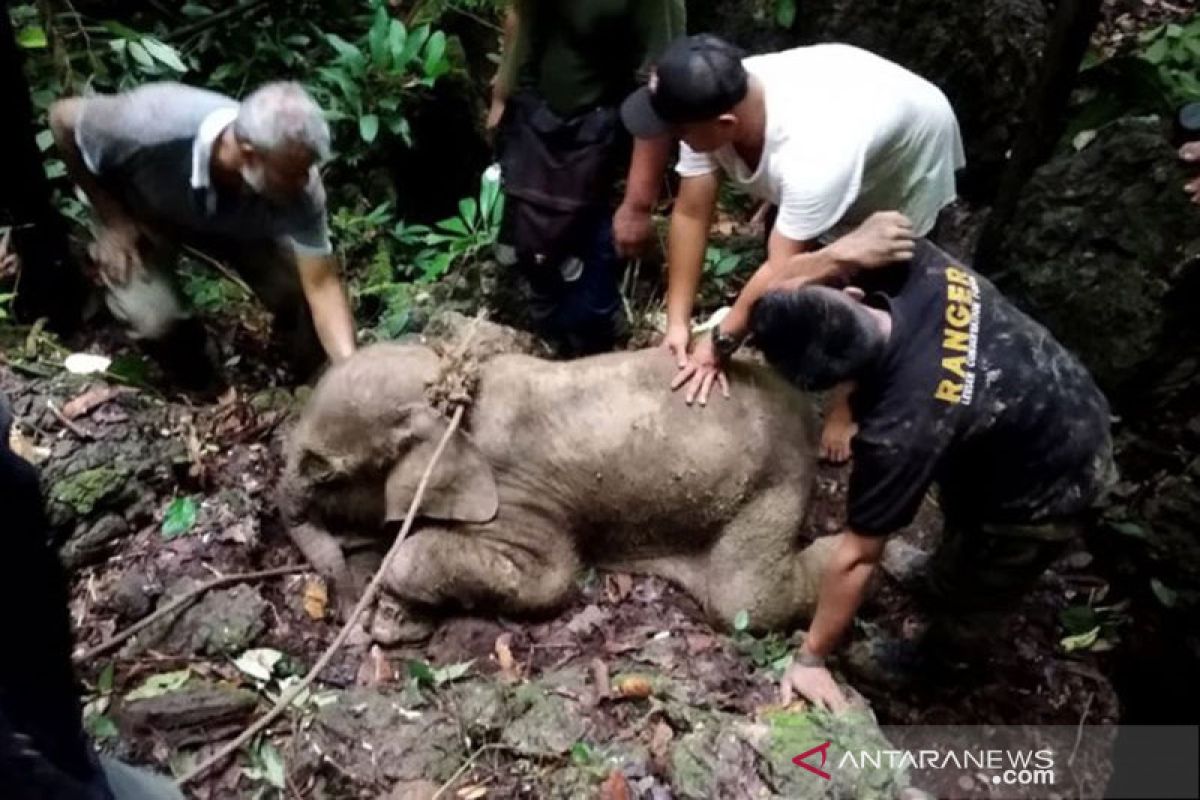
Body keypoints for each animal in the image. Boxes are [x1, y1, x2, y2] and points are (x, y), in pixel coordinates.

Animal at [278, 340, 835, 633]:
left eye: (326, 474)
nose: (350, 618)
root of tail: (803, 409)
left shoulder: (520, 496)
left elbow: (552, 578)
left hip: (774, 482)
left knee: (744, 598)